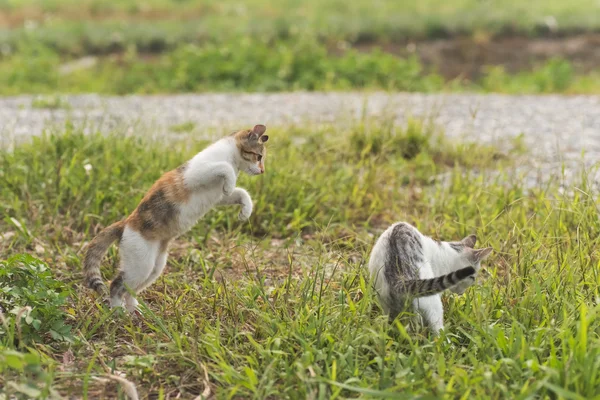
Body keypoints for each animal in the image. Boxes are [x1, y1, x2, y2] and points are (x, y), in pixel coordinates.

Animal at [82, 125, 270, 312]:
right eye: (259, 157)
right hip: (140, 264)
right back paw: (118, 312)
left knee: (130, 289)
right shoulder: (197, 173)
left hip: (154, 267)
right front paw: (230, 184)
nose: (262, 171)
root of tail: (125, 224)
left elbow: (241, 193)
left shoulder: (220, 197)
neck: (233, 159)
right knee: (116, 285)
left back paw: (135, 311)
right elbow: (225, 168)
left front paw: (245, 211)